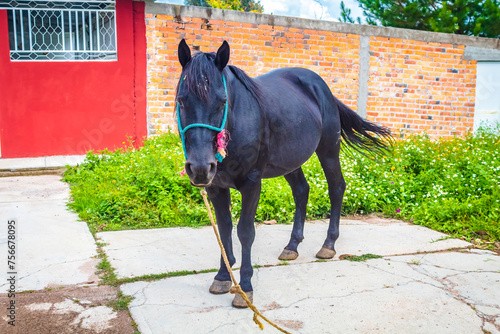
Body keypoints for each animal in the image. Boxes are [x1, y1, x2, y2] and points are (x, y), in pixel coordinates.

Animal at [176, 39, 390, 308]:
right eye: (181, 100)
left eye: (222, 101)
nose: (200, 168)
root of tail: (322, 88)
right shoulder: (216, 186)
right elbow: (223, 230)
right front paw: (223, 277)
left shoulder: (252, 183)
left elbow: (245, 231)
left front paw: (245, 288)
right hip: (290, 162)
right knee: (301, 191)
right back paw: (292, 246)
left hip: (329, 150)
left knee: (336, 188)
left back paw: (328, 244)